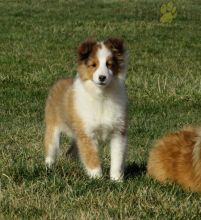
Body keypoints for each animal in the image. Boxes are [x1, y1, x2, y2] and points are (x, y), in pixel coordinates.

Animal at [44, 37, 128, 181]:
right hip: (53, 129)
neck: (101, 96)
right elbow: (91, 157)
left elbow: (117, 159)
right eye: (93, 65)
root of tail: (58, 82)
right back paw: (48, 168)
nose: (102, 77)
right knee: (50, 150)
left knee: (70, 152)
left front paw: (116, 180)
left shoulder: (118, 133)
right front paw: (97, 178)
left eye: (109, 64)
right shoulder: (87, 134)